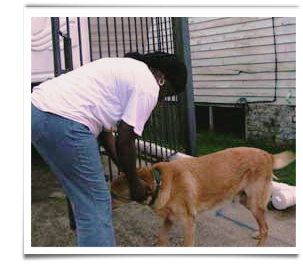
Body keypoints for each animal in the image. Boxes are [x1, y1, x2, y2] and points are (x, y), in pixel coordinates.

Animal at [110, 147, 296, 246]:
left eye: (114, 195)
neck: (160, 183)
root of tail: (267, 155)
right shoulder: (168, 220)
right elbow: (160, 241)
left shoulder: (188, 223)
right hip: (247, 201)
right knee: (264, 224)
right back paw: (258, 233)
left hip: (253, 202)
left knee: (266, 227)